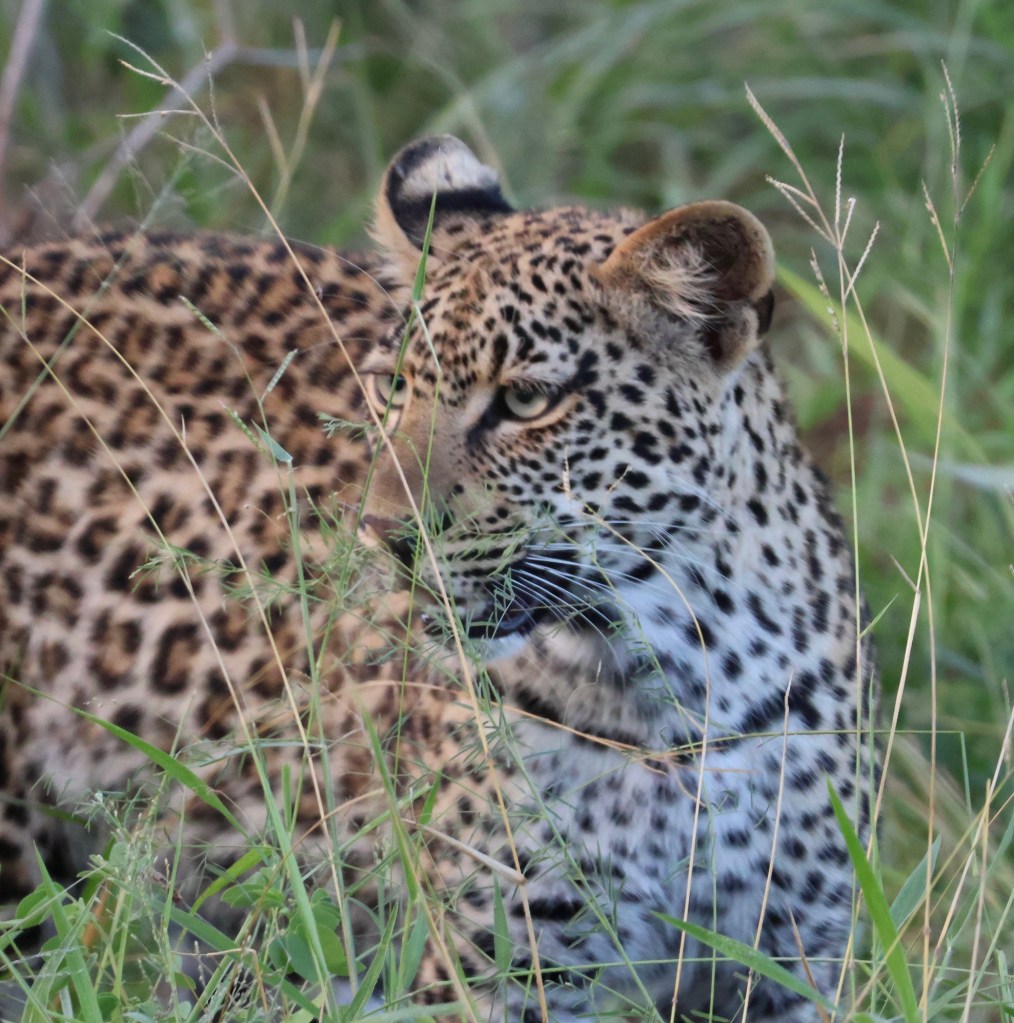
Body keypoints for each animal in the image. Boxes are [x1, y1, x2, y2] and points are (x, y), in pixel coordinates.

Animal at [0, 134, 877, 1022]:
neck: (672, 683)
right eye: (395, 386)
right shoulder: (503, 969)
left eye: (525, 400)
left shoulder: (795, 959)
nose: (382, 535)